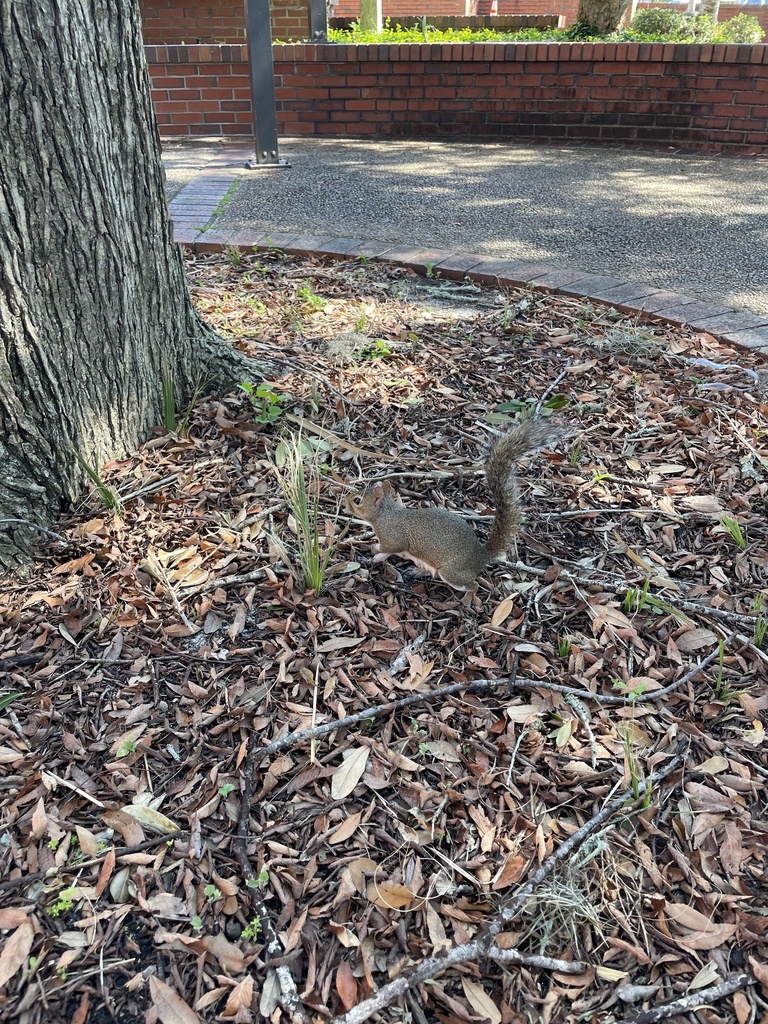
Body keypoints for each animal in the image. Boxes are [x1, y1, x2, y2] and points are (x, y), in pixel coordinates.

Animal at [347, 417, 557, 605]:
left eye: (357, 501)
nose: (346, 502)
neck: (385, 514)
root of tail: (481, 557)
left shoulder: (393, 537)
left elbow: (390, 547)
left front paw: (373, 549)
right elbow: (383, 555)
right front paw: (371, 557)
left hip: (452, 573)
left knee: (472, 585)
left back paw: (466, 600)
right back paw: (417, 571)